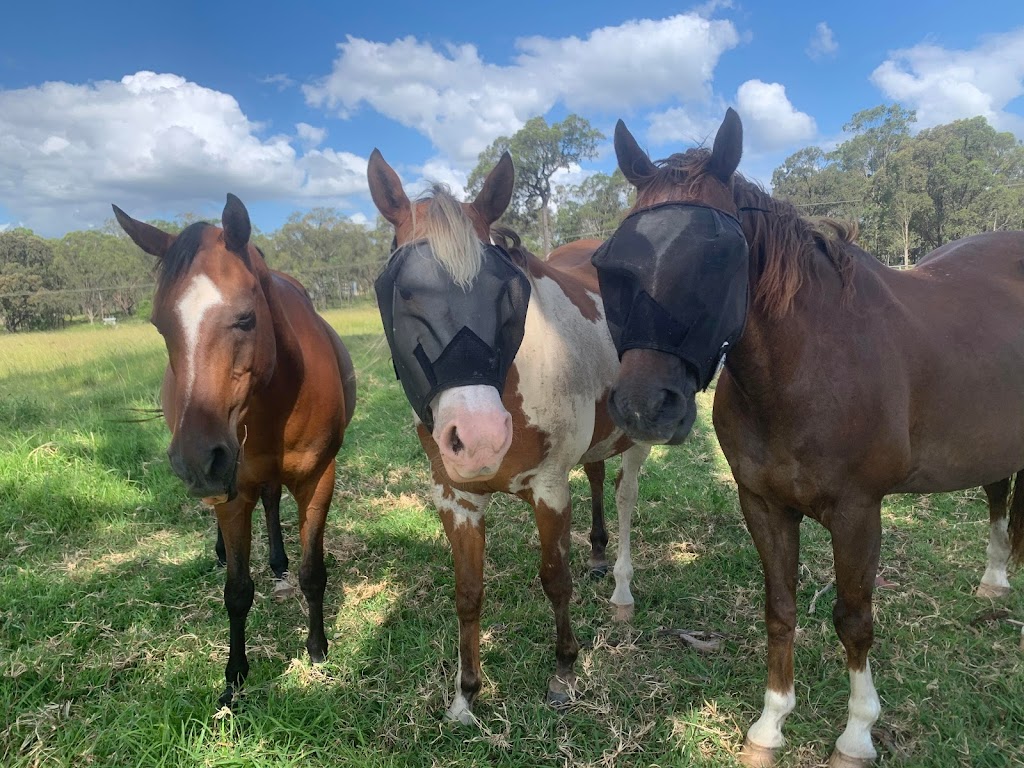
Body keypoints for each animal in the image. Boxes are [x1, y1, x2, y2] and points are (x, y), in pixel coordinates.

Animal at [112, 193, 356, 708]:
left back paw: (279, 564)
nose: (197, 459)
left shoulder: (318, 479)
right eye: (160, 325)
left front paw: (317, 647)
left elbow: (313, 572)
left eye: (246, 317)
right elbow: (237, 591)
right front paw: (234, 677)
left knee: (272, 503)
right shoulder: (233, 491)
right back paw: (224, 550)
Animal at [368, 147, 647, 724]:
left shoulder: (549, 489)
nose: (478, 438)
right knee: (596, 474)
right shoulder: (456, 499)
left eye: (506, 292)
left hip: (638, 437)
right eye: (401, 293)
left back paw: (621, 590)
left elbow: (554, 578)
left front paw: (564, 670)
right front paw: (465, 695)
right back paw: (597, 555)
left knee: (625, 495)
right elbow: (469, 592)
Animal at [593, 109, 1024, 768]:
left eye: (719, 259)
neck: (806, 368)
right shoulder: (764, 505)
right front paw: (770, 726)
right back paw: (995, 581)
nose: (645, 405)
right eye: (611, 265)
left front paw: (857, 734)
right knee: (998, 489)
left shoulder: (857, 512)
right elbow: (780, 609)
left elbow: (854, 619)